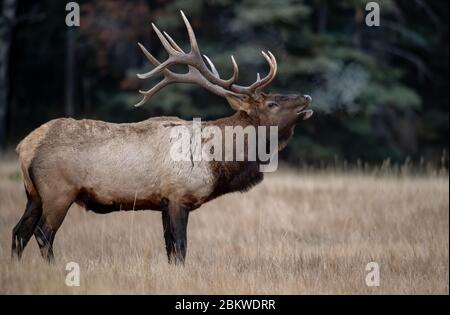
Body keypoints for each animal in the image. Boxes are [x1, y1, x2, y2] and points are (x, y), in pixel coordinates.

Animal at [11, 11, 312, 264]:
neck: (218, 160)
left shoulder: (164, 203)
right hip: (58, 191)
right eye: (272, 103)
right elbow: (180, 248)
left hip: (33, 195)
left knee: (18, 232)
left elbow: (170, 249)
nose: (307, 97)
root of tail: (25, 147)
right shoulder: (179, 196)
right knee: (43, 234)